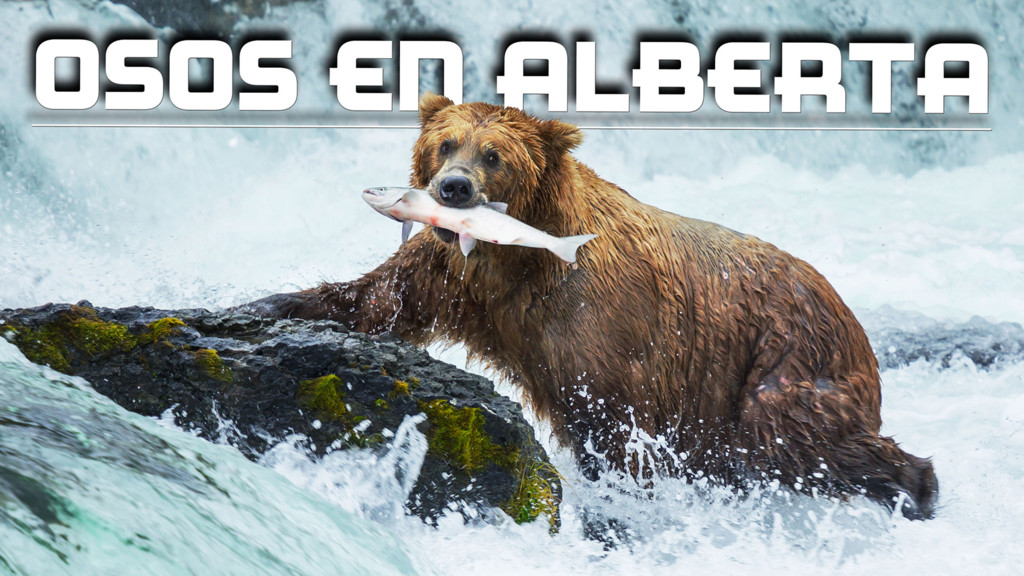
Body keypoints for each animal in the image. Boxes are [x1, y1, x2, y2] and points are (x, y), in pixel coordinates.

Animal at [247, 93, 938, 519]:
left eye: (493, 154)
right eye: (445, 144)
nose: (453, 188)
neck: (518, 258)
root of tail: (849, 314)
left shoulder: (602, 324)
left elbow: (612, 422)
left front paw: (620, 501)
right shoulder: (455, 278)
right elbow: (378, 300)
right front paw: (268, 303)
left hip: (781, 355)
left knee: (791, 435)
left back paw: (917, 486)